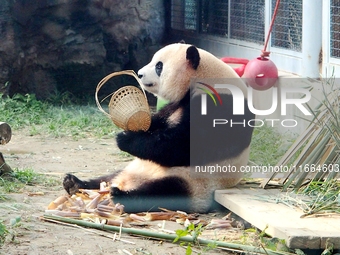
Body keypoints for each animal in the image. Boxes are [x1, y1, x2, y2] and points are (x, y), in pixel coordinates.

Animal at [63, 42, 255, 213]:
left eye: (159, 66)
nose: (139, 74)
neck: (206, 77)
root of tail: (127, 181)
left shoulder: (221, 106)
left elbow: (182, 146)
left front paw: (125, 138)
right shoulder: (176, 105)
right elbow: (157, 122)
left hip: (195, 183)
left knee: (165, 192)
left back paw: (120, 195)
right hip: (132, 168)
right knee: (106, 178)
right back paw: (75, 183)